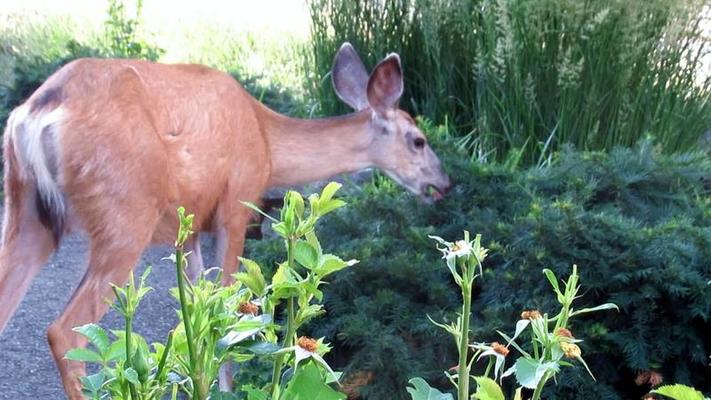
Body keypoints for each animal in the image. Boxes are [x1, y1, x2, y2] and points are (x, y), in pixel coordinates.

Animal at [0, 42, 450, 398]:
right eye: (418, 140)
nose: (444, 184)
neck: (267, 140)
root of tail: (39, 110)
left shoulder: (190, 226)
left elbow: (199, 307)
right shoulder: (236, 207)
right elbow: (231, 309)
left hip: (27, 210)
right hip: (125, 212)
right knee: (62, 330)